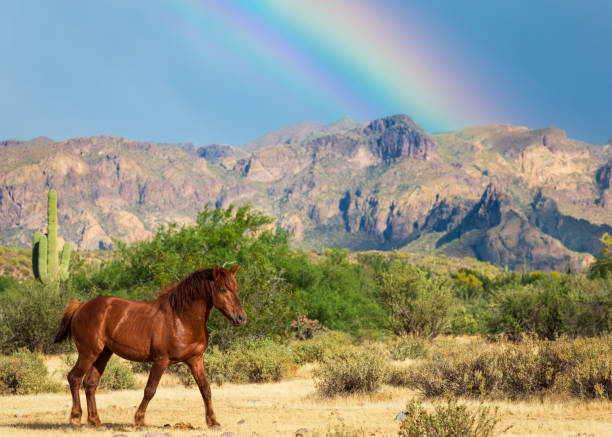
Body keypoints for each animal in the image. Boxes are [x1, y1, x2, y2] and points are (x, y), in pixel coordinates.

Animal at [55, 264, 246, 428]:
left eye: (236, 288)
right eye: (223, 289)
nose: (241, 317)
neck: (181, 318)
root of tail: (81, 306)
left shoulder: (196, 359)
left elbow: (205, 389)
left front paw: (213, 422)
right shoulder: (161, 360)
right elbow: (150, 390)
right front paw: (139, 420)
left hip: (103, 354)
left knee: (90, 383)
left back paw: (95, 421)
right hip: (88, 353)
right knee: (74, 378)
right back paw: (75, 418)